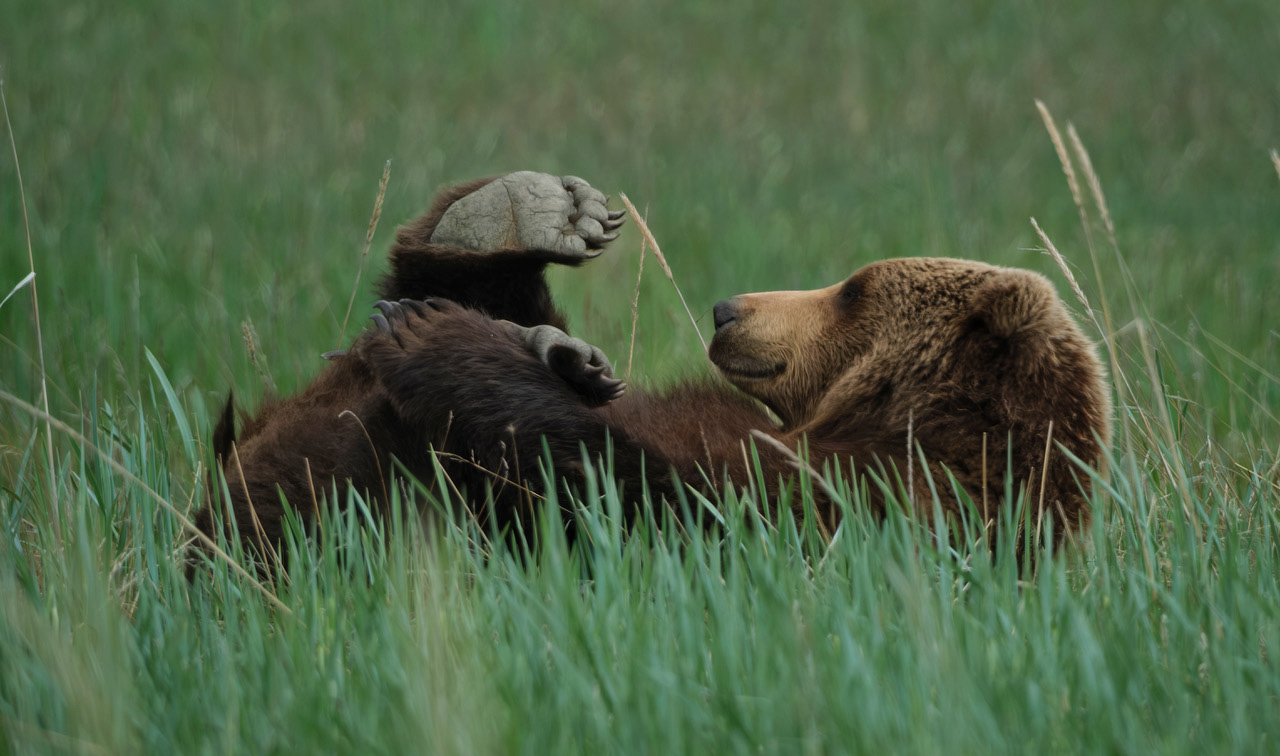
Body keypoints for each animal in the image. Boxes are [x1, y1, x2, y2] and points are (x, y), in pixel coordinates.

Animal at [193, 171, 1112, 566]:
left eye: (853, 289)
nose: (728, 309)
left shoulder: (877, 507)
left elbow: (642, 496)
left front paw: (441, 341)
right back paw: (507, 222)